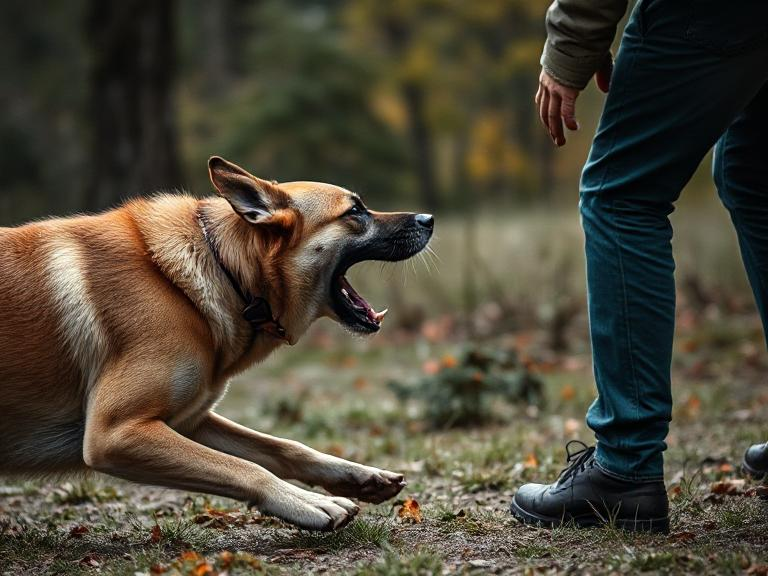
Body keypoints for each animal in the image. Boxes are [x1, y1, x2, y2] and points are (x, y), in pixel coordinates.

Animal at [0, 158, 432, 532]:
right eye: (355, 211)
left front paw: (359, 475)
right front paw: (308, 504)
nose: (428, 219)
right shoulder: (116, 432)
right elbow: (248, 468)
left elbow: (286, 447)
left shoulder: (190, 420)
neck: (226, 270)